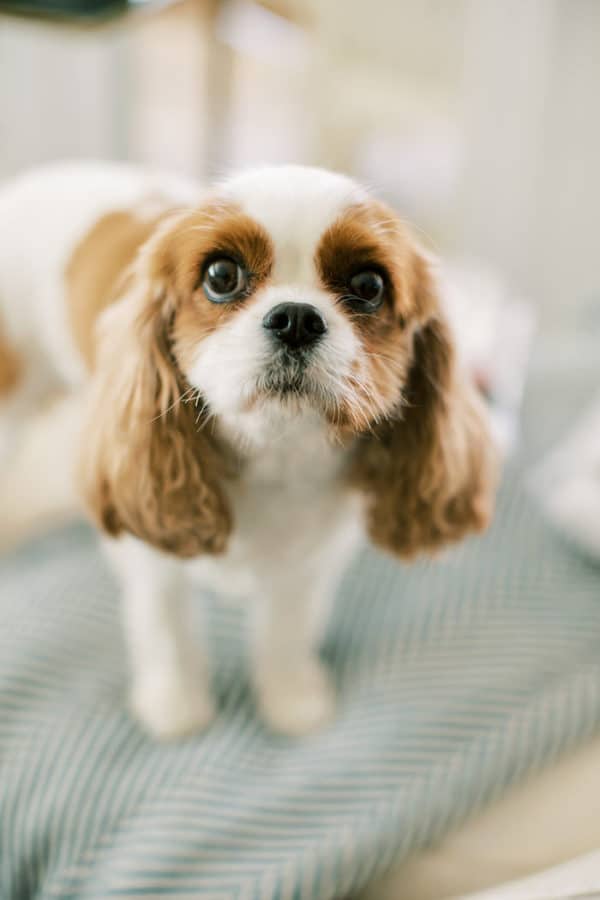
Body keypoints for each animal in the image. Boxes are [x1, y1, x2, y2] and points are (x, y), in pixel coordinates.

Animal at [0, 162, 496, 740]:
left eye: (369, 285)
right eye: (221, 276)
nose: (296, 317)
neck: (275, 456)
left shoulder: (311, 563)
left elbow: (287, 630)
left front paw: (290, 697)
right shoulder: (157, 561)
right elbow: (167, 631)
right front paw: (177, 707)